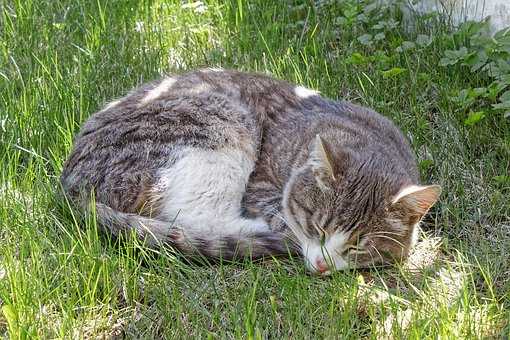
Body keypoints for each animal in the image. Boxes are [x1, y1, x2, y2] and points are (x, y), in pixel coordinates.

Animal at [60, 67, 442, 274]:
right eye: (318, 227)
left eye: (358, 246)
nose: (322, 266)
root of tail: (70, 185)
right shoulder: (261, 184)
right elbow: (280, 214)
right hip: (219, 125)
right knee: (197, 217)